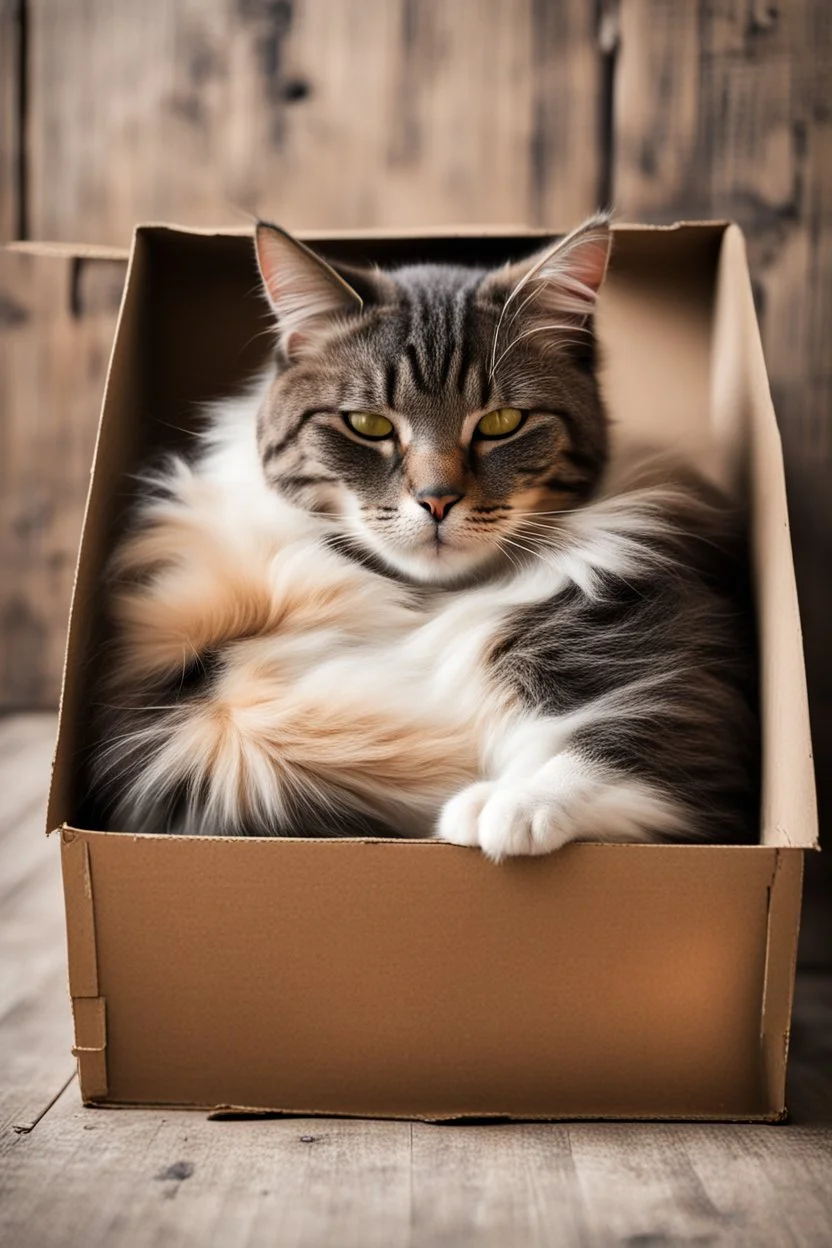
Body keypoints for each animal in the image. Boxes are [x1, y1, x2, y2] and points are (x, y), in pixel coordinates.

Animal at [92, 217, 763, 858]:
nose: (437, 501)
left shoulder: (682, 665)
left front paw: (512, 805)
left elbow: (631, 738)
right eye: (368, 425)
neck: (427, 599)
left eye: (501, 422)